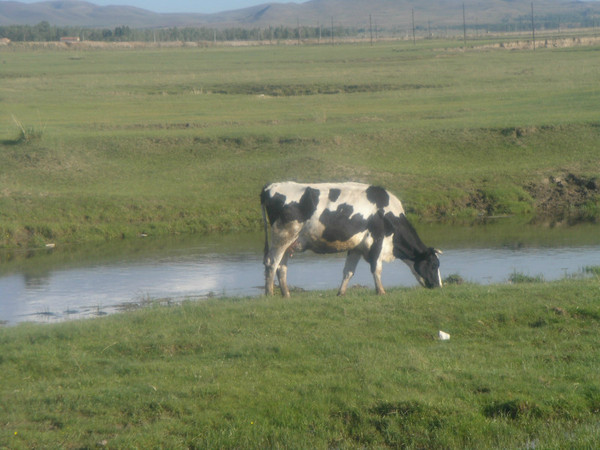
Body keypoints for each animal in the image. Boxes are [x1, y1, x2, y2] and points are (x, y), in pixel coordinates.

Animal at [262, 181, 440, 298]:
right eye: (433, 264)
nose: (439, 286)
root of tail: (270, 187)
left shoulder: (356, 247)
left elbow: (348, 271)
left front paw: (341, 293)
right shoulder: (377, 241)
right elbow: (376, 268)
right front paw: (381, 291)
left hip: (289, 242)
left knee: (281, 267)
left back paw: (286, 294)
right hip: (282, 235)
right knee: (272, 263)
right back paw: (270, 294)